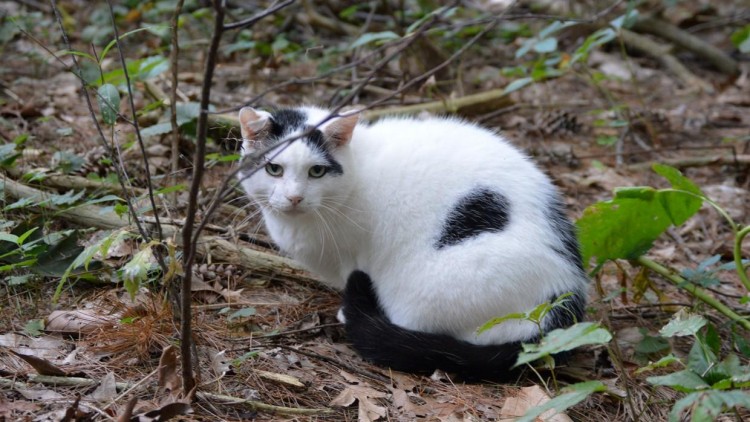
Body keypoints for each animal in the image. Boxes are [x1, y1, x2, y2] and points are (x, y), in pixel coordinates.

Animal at [238, 104, 592, 380]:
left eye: (316, 172)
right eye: (274, 169)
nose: (294, 198)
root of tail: (563, 297)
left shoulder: (356, 257)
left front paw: (344, 311)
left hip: (430, 292)